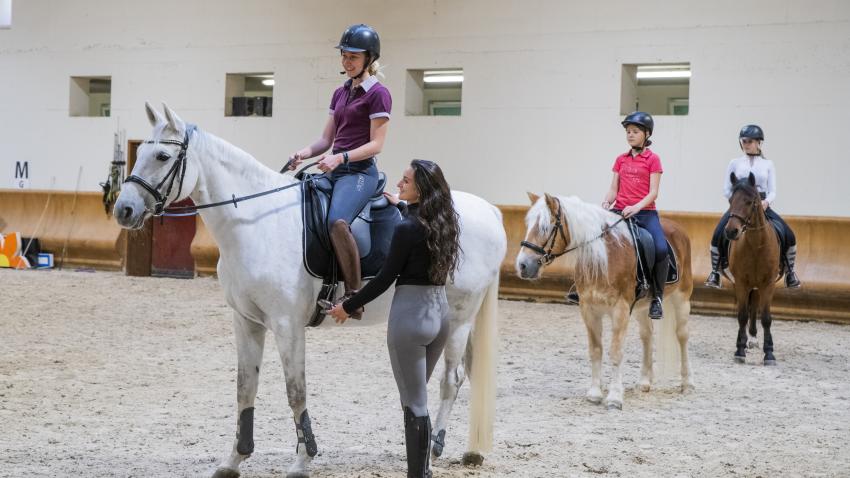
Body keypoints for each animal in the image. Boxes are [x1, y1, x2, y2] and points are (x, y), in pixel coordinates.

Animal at [112, 102, 504, 476]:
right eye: (140, 150)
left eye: (162, 156)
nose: (123, 210)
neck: (256, 222)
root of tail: (489, 210)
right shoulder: (246, 322)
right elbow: (244, 388)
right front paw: (234, 459)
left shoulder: (287, 325)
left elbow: (295, 391)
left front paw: (302, 460)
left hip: (459, 318)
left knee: (451, 380)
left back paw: (435, 447)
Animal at [512, 192, 692, 408]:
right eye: (528, 224)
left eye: (546, 227)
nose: (522, 266)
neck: (604, 257)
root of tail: (678, 229)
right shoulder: (588, 309)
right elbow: (596, 350)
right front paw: (595, 393)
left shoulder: (620, 309)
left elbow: (616, 351)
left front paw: (614, 397)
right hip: (642, 307)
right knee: (646, 335)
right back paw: (644, 382)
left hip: (682, 297)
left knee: (682, 336)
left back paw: (687, 383)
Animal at [720, 174, 780, 364]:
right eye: (730, 200)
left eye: (749, 202)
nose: (731, 231)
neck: (756, 245)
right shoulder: (741, 283)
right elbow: (742, 316)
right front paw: (739, 350)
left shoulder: (768, 283)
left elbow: (766, 318)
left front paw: (769, 353)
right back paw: (745, 341)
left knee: (754, 308)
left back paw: (752, 339)